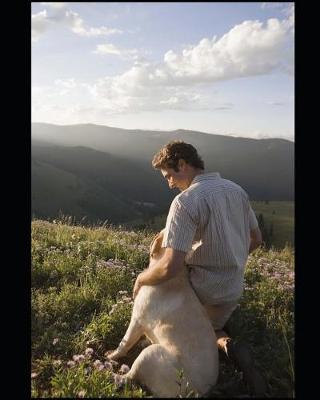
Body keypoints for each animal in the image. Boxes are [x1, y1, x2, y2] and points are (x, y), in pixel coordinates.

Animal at [106, 230, 219, 398]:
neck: (176, 276)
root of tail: (197, 392)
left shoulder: (137, 319)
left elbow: (124, 343)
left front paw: (112, 355)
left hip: (149, 355)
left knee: (130, 377)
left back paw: (111, 374)